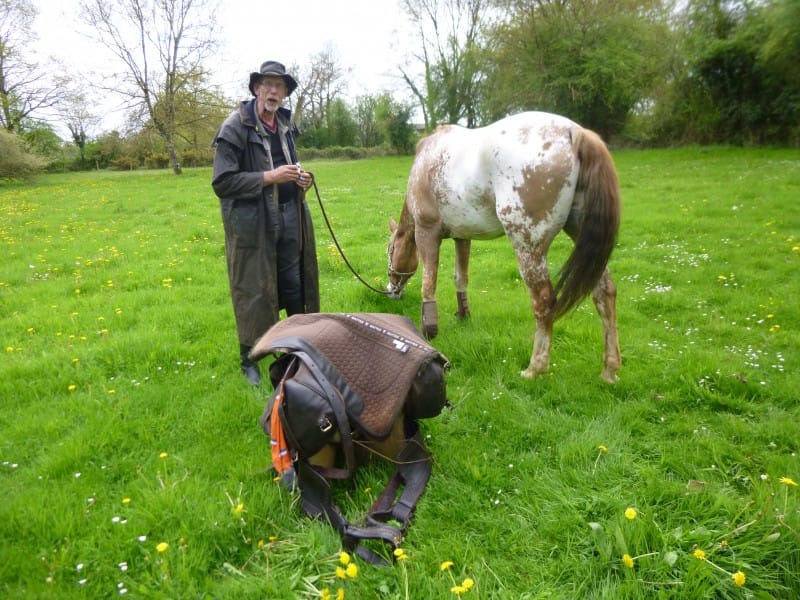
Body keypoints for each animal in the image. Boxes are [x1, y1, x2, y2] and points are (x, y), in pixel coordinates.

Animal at [388, 112, 624, 382]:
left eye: (390, 250)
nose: (391, 290)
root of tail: (576, 133)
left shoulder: (427, 232)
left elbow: (429, 284)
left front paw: (429, 330)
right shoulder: (463, 237)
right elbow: (460, 278)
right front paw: (463, 314)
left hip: (528, 247)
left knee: (544, 302)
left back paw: (535, 368)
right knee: (604, 291)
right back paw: (609, 369)